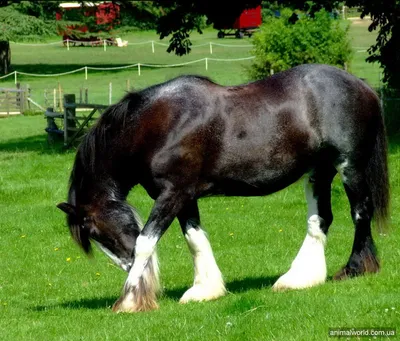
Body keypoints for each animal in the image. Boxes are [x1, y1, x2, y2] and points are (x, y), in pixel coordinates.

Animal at [57, 63, 390, 310]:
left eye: (93, 230)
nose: (127, 268)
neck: (159, 124)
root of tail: (361, 85)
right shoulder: (184, 196)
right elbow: (195, 239)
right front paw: (205, 289)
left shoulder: (172, 195)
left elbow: (145, 243)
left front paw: (128, 300)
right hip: (318, 171)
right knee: (320, 219)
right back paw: (298, 278)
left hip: (349, 166)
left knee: (361, 213)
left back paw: (355, 268)